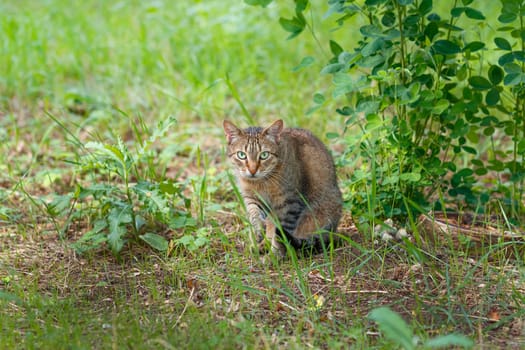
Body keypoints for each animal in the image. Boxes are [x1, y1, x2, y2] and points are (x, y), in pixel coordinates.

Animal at [222, 120, 342, 258]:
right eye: (241, 155)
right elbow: (254, 215)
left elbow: (280, 236)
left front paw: (274, 256)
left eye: (264, 155)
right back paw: (261, 245)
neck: (260, 182)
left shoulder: (289, 204)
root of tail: (334, 230)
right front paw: (258, 232)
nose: (252, 170)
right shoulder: (253, 198)